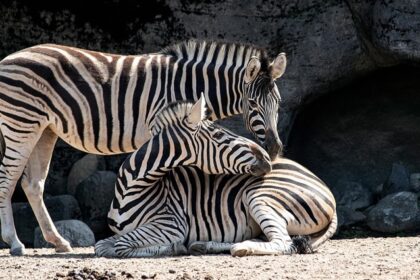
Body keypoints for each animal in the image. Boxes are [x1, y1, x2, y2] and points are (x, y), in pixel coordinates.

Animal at [0, 40, 286, 255]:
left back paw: (58, 241)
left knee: (33, 184)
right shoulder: (162, 125)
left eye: (279, 102)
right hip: (21, 122)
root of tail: (8, 59)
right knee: (8, 179)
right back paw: (15, 243)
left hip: (45, 128)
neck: (191, 84)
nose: (274, 149)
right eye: (252, 103)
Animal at [96, 97, 338, 258]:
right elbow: (102, 246)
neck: (132, 187)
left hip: (260, 196)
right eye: (220, 134)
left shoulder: (171, 224)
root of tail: (325, 188)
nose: (267, 158)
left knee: (283, 243)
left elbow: (120, 247)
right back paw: (204, 245)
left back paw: (241, 248)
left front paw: (173, 247)